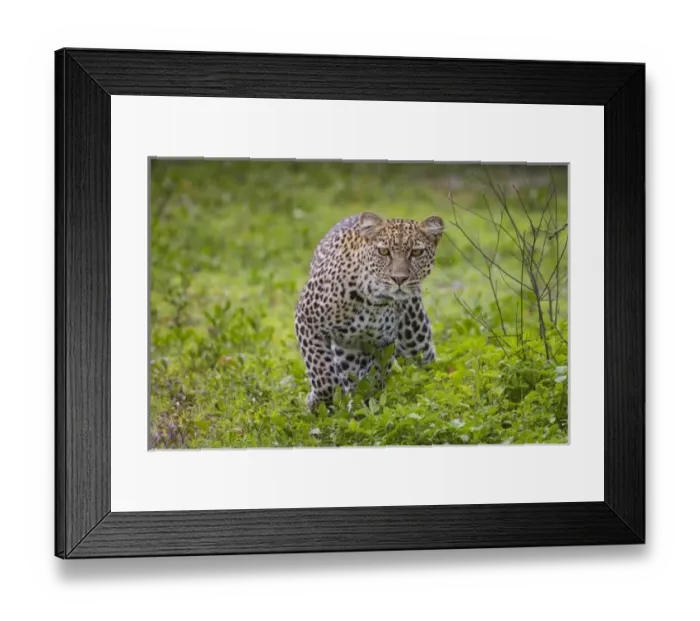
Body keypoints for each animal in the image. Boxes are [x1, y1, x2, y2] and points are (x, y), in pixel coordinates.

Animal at [294, 211, 444, 410]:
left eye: (416, 252)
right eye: (384, 251)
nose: (399, 279)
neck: (372, 300)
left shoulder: (382, 343)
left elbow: (373, 379)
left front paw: (363, 406)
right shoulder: (307, 320)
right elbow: (322, 376)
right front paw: (317, 402)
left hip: (415, 340)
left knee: (426, 363)